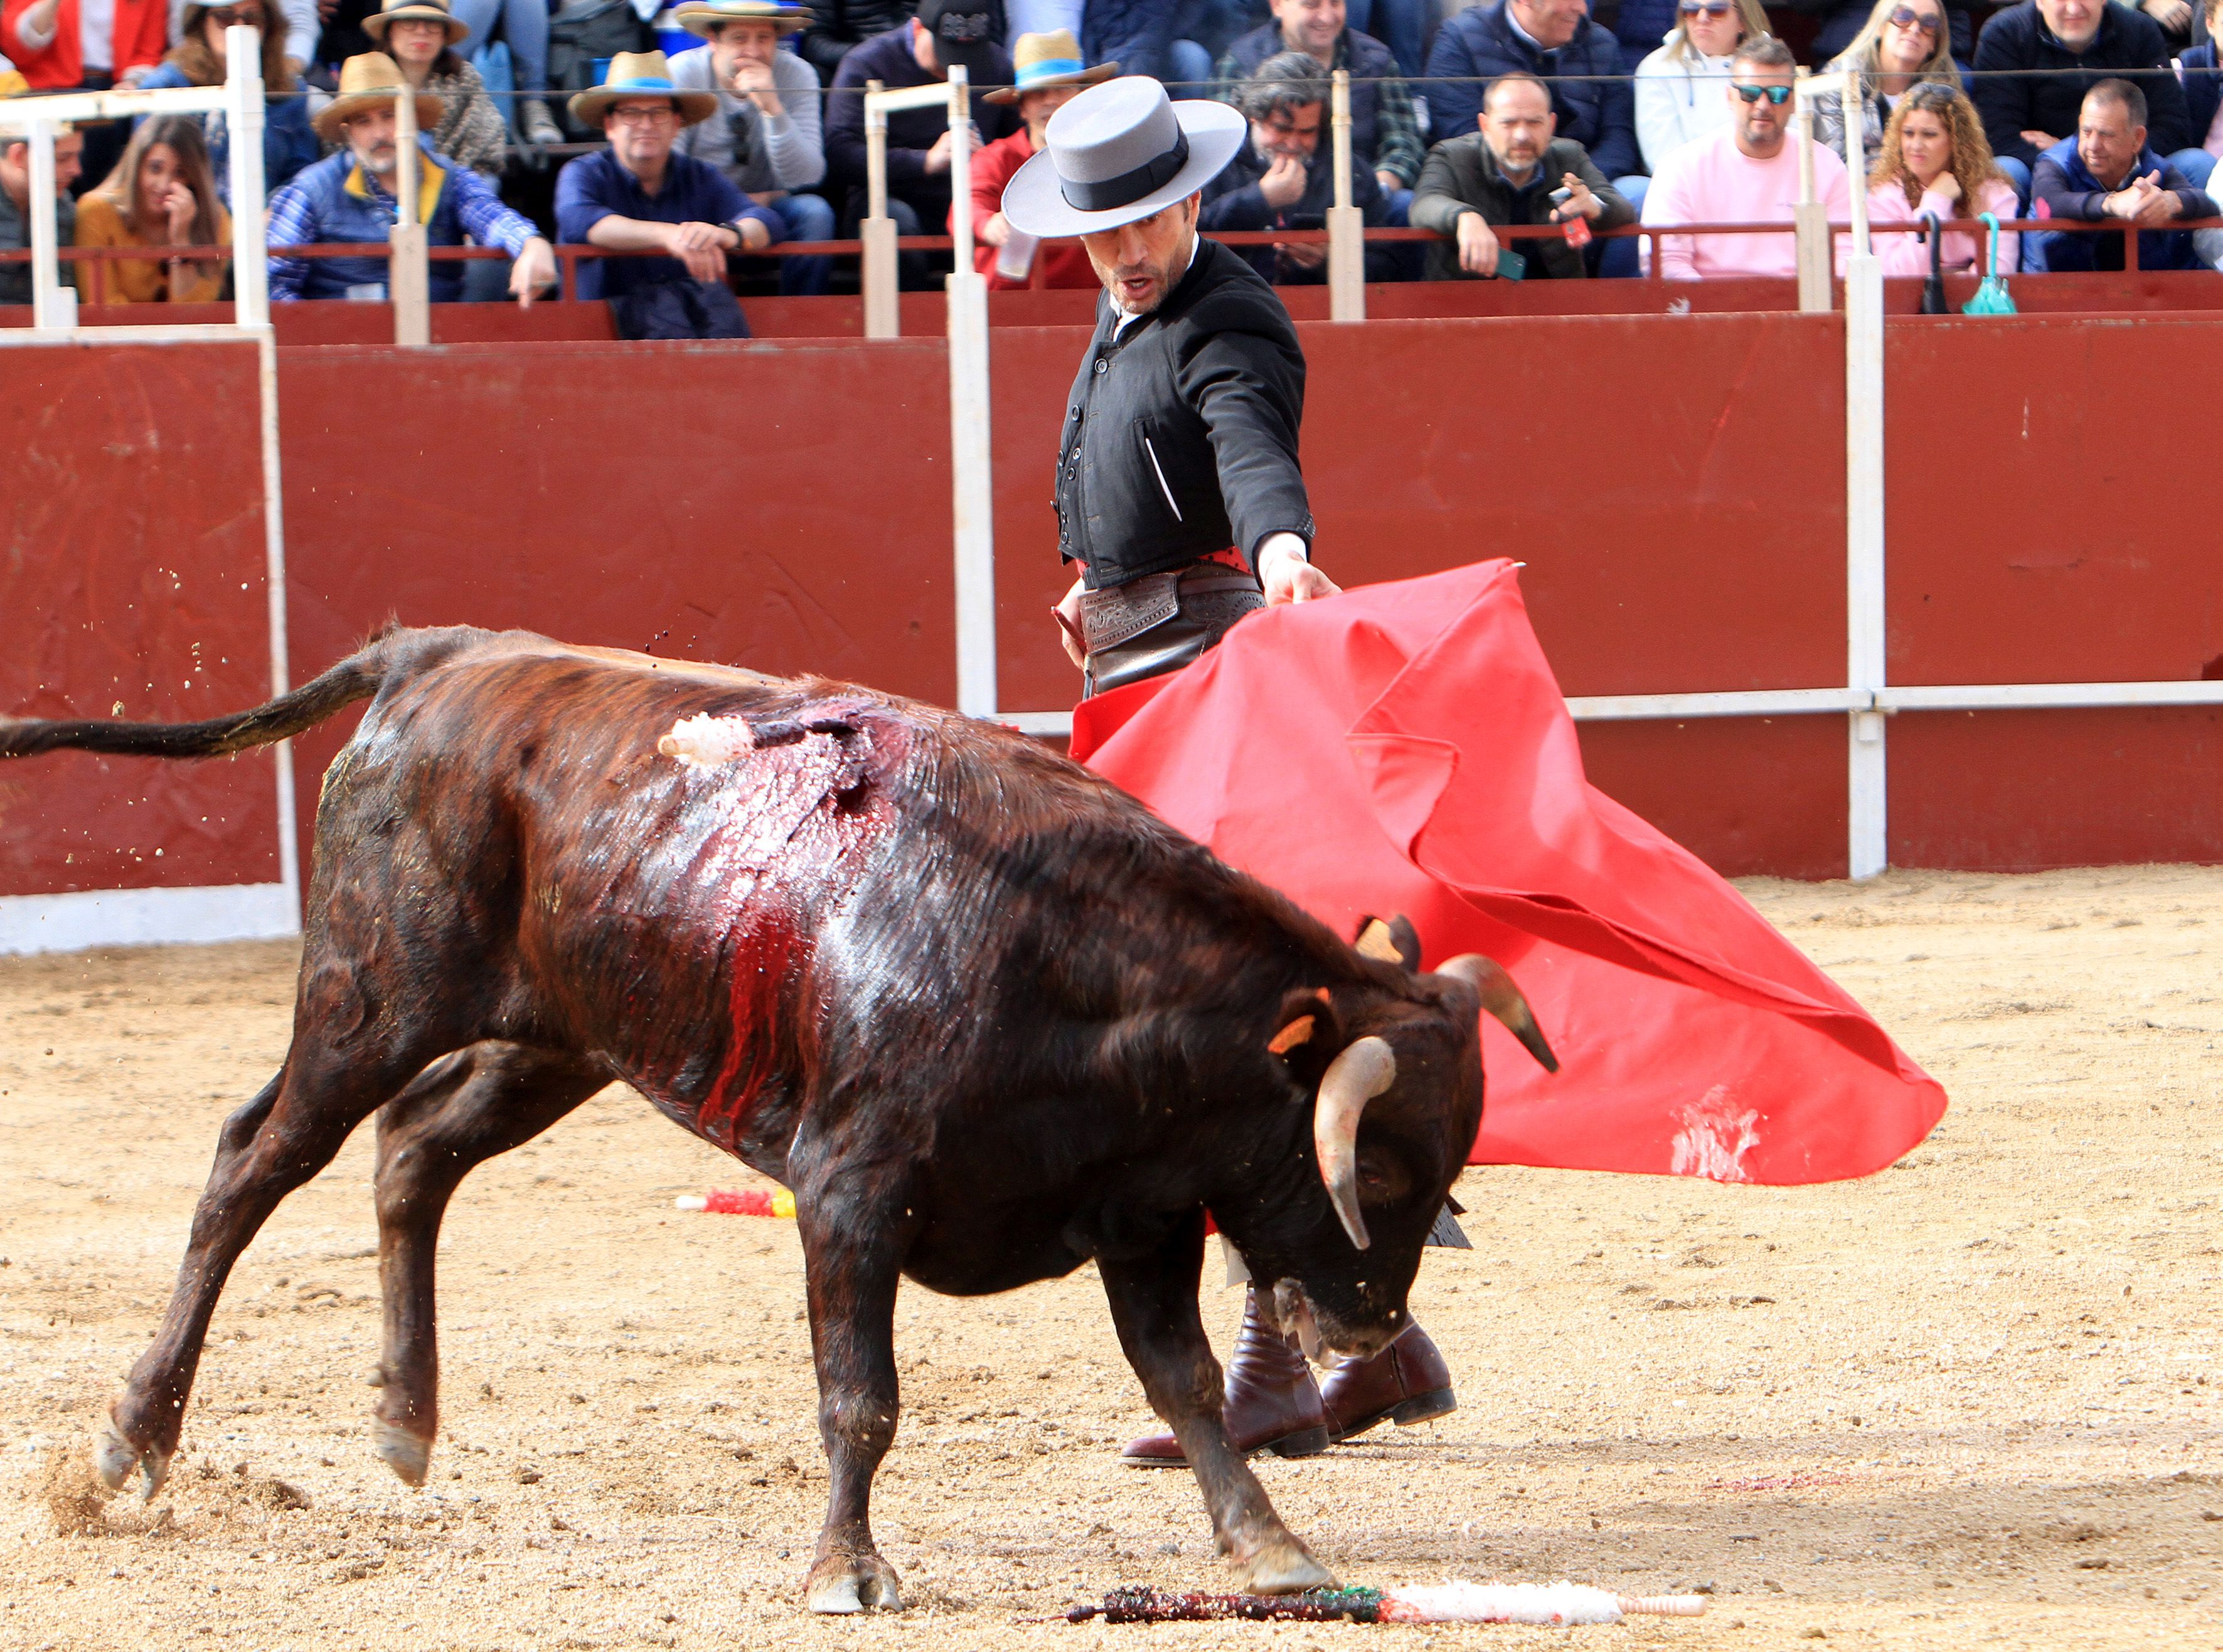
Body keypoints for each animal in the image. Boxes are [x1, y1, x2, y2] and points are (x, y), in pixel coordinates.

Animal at [0, 627, 1556, 1609]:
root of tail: (433, 658)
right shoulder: (850, 1186)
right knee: (255, 1162)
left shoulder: (1143, 1212)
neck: (1075, 967)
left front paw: (1271, 1543)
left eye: (1446, 1172)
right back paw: (132, 1434)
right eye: (1373, 1170)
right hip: (368, 1000)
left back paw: (403, 1417)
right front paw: (846, 1570)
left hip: (563, 1035)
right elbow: (859, 1391)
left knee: (415, 1154)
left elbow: (1179, 1382)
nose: (1364, 1322)